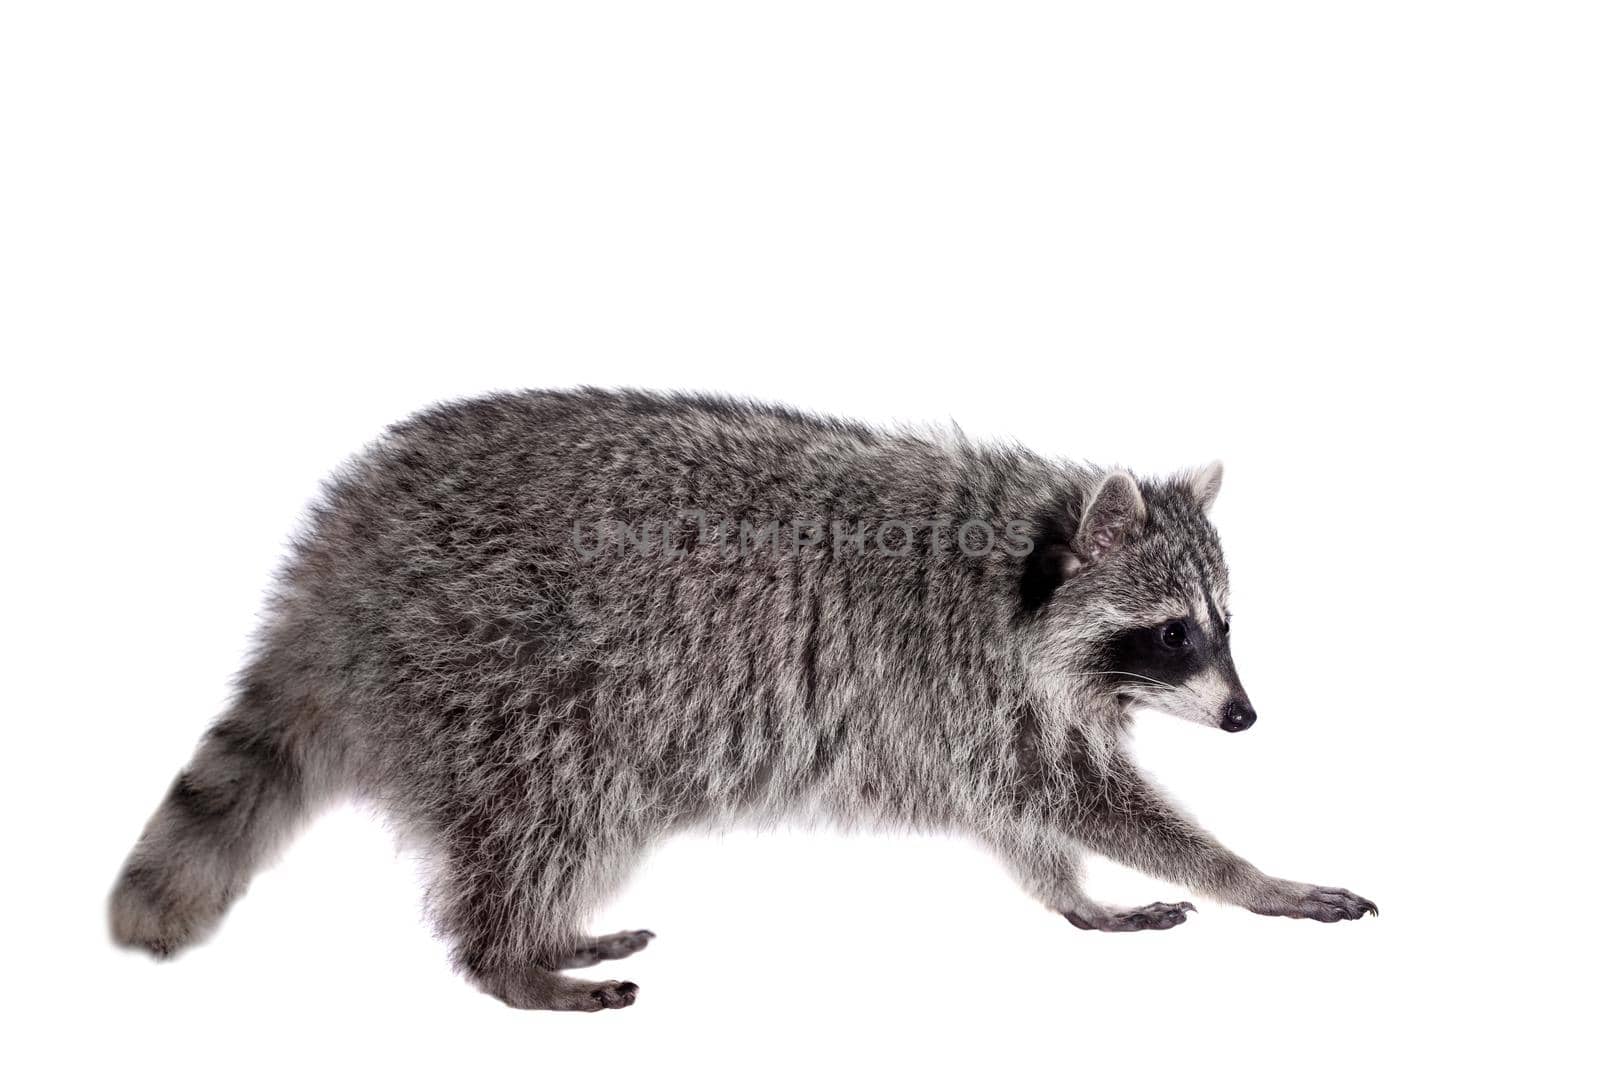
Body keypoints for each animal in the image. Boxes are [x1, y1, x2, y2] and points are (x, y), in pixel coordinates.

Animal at [116, 390, 1376, 1011]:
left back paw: (542, 928)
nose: (1245, 718)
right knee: (545, 808)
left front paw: (1074, 894)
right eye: (1172, 631)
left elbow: (1025, 809)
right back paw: (508, 956)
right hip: (501, 671)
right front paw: (1247, 875)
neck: (1026, 557)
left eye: (1225, 622)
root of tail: (336, 571)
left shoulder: (975, 710)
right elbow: (1072, 792)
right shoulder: (951, 674)